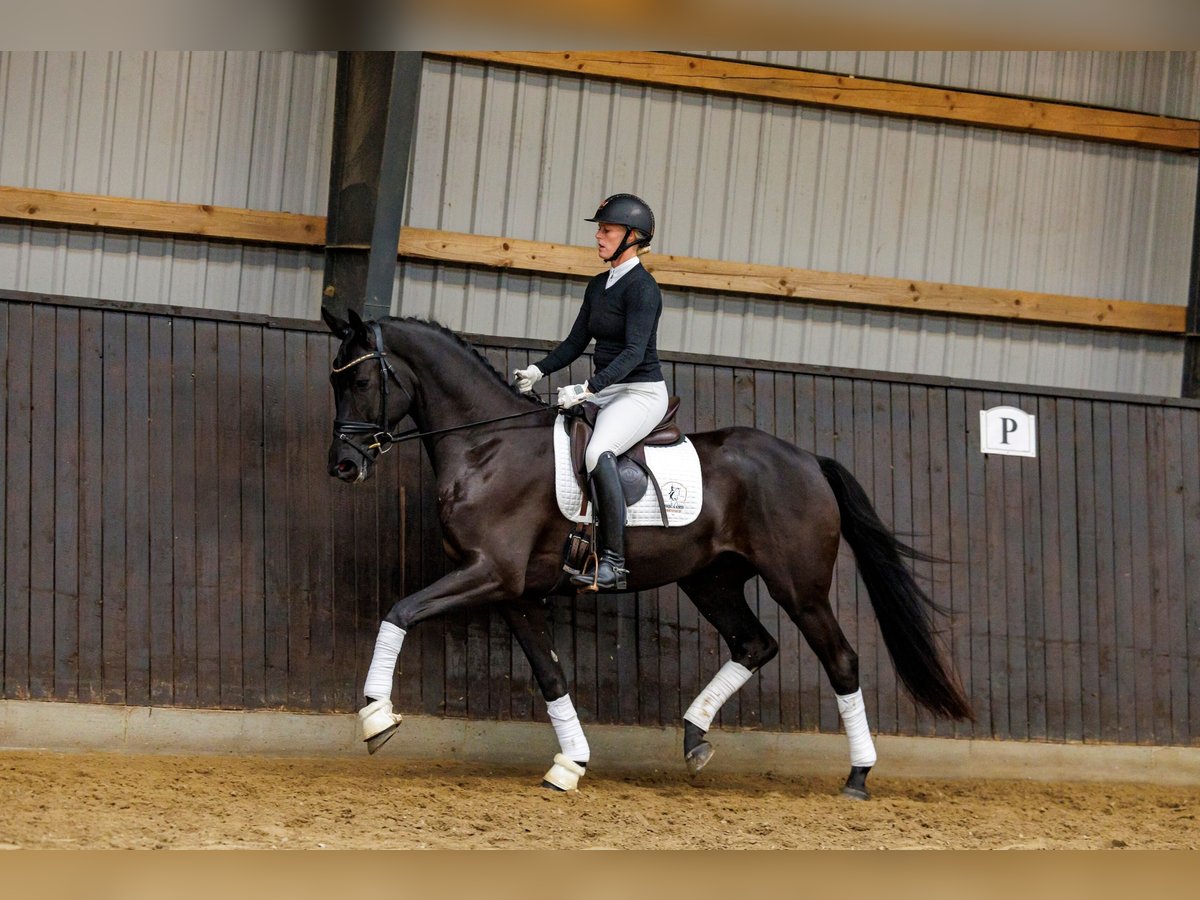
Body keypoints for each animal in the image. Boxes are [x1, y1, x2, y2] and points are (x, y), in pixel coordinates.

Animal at [324, 312, 969, 801]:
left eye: (361, 383)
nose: (343, 466)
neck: (489, 446)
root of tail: (808, 459)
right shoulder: (515, 592)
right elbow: (551, 676)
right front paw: (570, 765)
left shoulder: (489, 573)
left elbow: (399, 612)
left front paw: (376, 718)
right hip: (710, 580)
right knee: (754, 644)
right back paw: (694, 738)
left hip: (799, 587)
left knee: (840, 660)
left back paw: (857, 776)